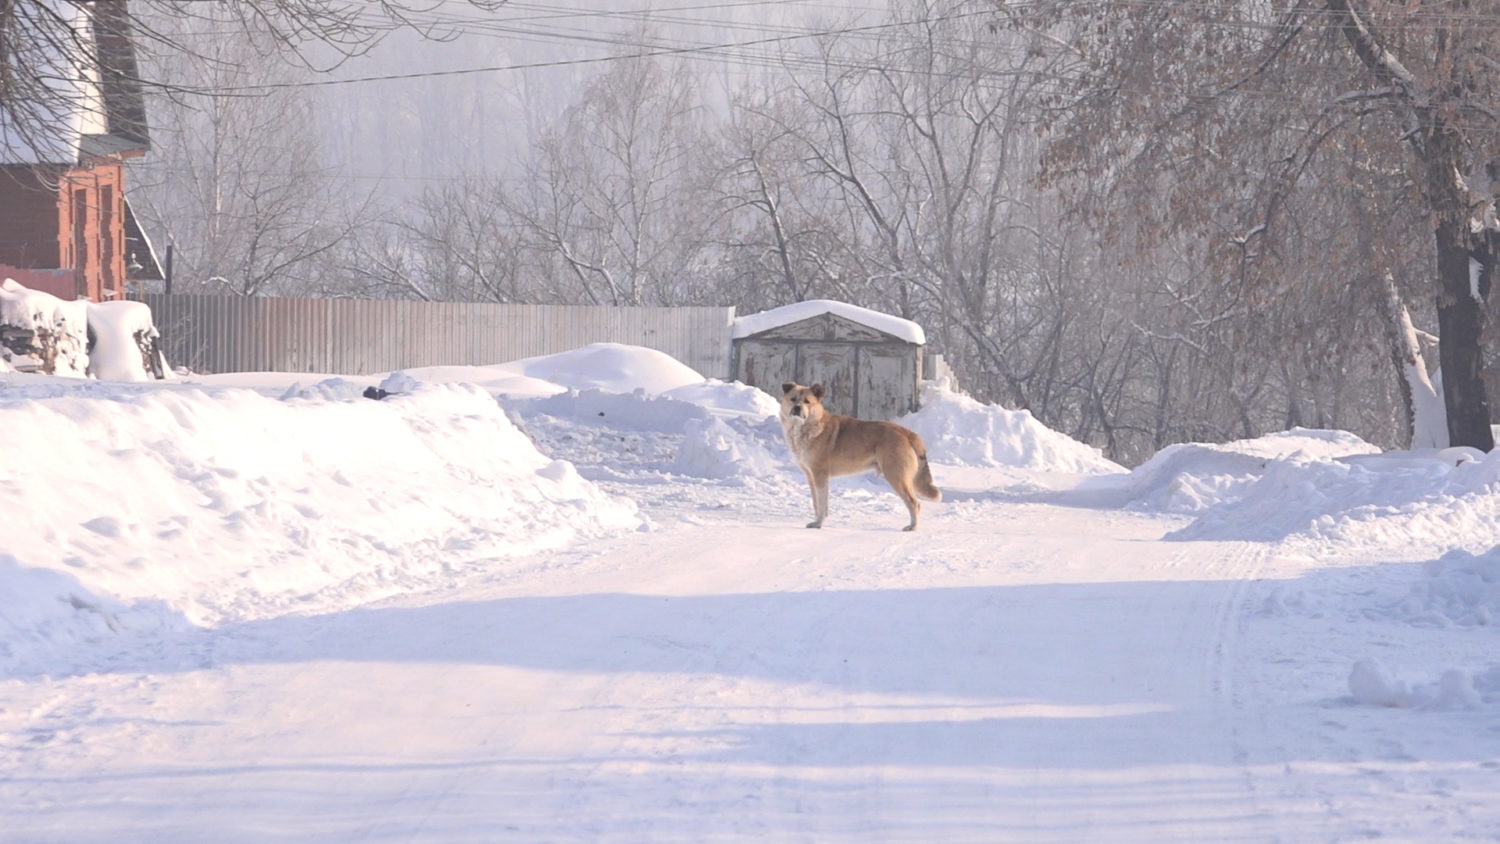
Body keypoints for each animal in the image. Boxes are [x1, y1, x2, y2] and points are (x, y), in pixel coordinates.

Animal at [780, 386, 942, 530]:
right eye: (793, 399)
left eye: (807, 401)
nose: (797, 408)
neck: (808, 427)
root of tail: (907, 432)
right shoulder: (811, 477)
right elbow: (816, 503)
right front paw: (816, 522)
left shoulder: (820, 476)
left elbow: (821, 503)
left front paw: (819, 524)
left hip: (896, 476)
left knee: (914, 503)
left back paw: (912, 527)